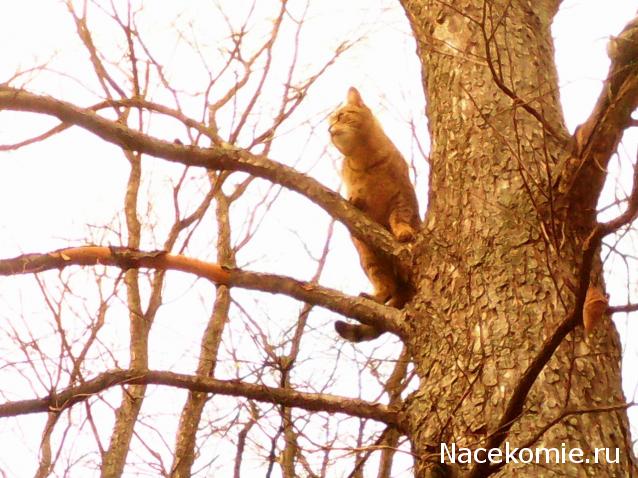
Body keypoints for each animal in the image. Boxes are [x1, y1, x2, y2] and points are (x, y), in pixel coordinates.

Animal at [330, 86, 420, 340]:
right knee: (387, 287)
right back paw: (374, 296)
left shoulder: (402, 198)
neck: (365, 160)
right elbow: (357, 198)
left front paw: (403, 232)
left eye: (340, 116)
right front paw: (357, 198)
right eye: (330, 121)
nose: (329, 130)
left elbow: (400, 218)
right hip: (368, 256)